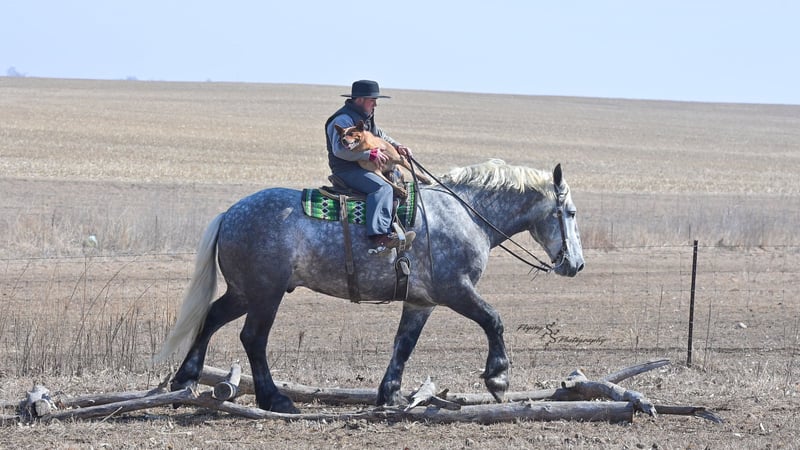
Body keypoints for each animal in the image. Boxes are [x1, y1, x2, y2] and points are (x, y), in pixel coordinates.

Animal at [155, 159, 584, 413]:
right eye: (569, 212)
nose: (576, 264)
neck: (466, 214)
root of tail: (229, 213)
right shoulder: (456, 290)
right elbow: (494, 320)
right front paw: (498, 379)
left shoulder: (422, 302)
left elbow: (403, 345)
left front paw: (389, 395)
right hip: (265, 295)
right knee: (253, 338)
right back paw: (275, 398)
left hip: (245, 292)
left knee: (211, 319)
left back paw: (185, 379)